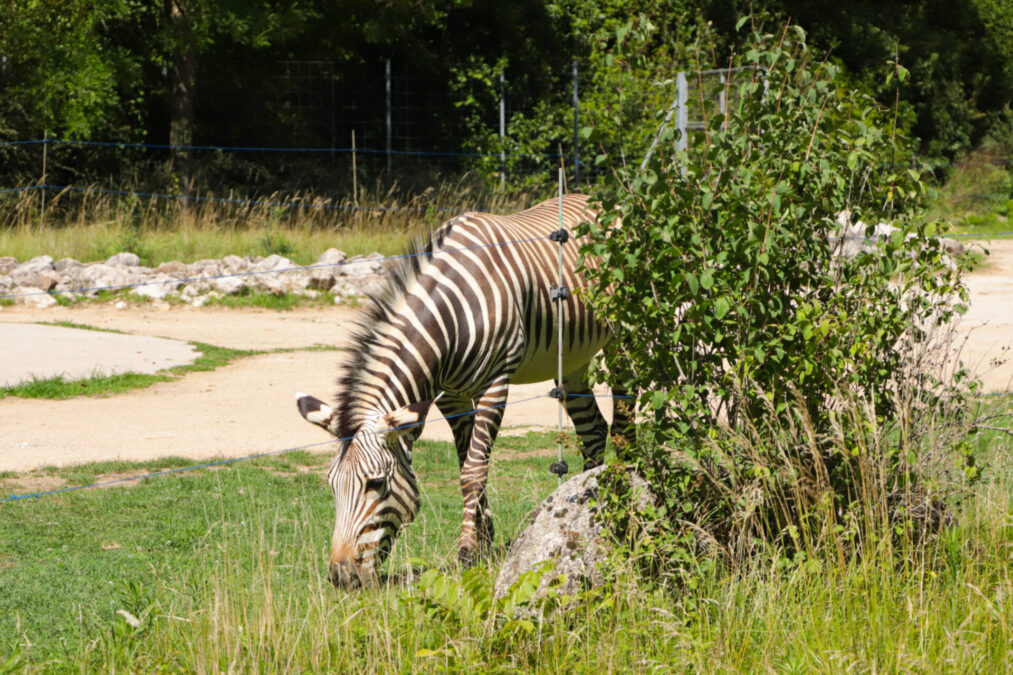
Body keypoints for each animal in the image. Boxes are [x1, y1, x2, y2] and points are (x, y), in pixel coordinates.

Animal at [293, 191, 628, 587]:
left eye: (375, 483)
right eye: (332, 485)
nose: (341, 576)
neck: (449, 319)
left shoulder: (494, 384)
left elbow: (473, 471)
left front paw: (467, 550)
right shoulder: (452, 397)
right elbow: (465, 462)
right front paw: (484, 539)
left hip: (625, 338)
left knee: (623, 420)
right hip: (573, 358)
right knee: (593, 430)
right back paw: (579, 499)